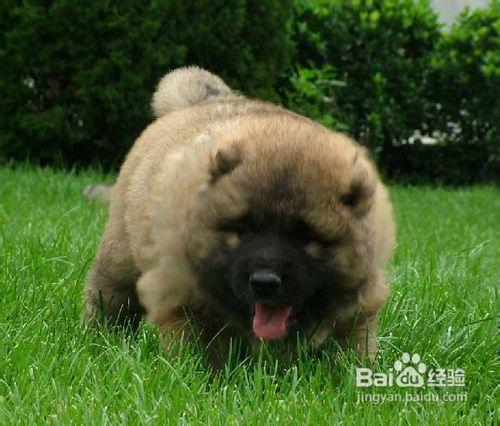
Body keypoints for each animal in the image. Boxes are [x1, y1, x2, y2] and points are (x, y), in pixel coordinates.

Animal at [84, 65, 396, 360]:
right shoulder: (182, 297)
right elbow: (200, 350)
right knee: (110, 296)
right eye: (242, 231)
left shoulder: (358, 307)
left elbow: (349, 348)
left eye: (306, 238)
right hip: (120, 253)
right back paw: (101, 339)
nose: (264, 282)